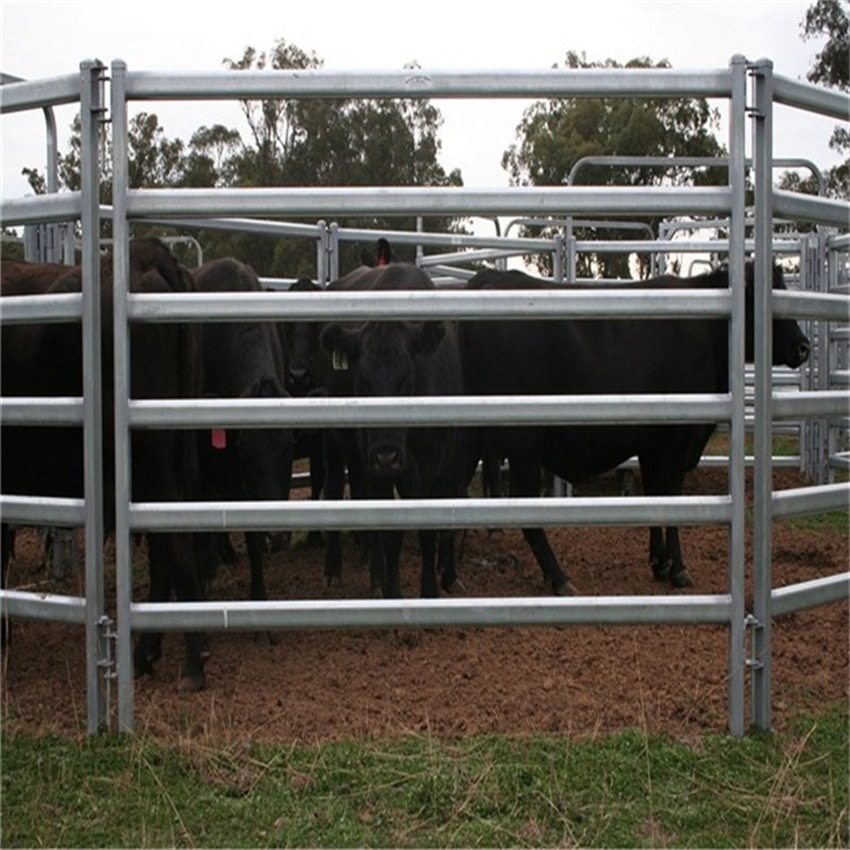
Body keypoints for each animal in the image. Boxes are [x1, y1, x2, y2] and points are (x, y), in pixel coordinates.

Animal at [320, 260, 464, 596]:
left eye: (407, 376)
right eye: (362, 379)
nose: (387, 456)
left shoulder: (437, 462)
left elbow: (427, 531)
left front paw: (429, 591)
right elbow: (390, 535)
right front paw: (393, 593)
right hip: (339, 443)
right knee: (337, 490)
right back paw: (342, 570)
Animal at [458, 264, 808, 588]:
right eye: (767, 297)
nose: (804, 346)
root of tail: (488, 279)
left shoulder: (652, 441)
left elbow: (655, 494)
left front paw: (659, 562)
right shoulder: (679, 437)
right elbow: (672, 496)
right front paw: (678, 568)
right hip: (523, 439)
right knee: (523, 501)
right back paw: (558, 577)